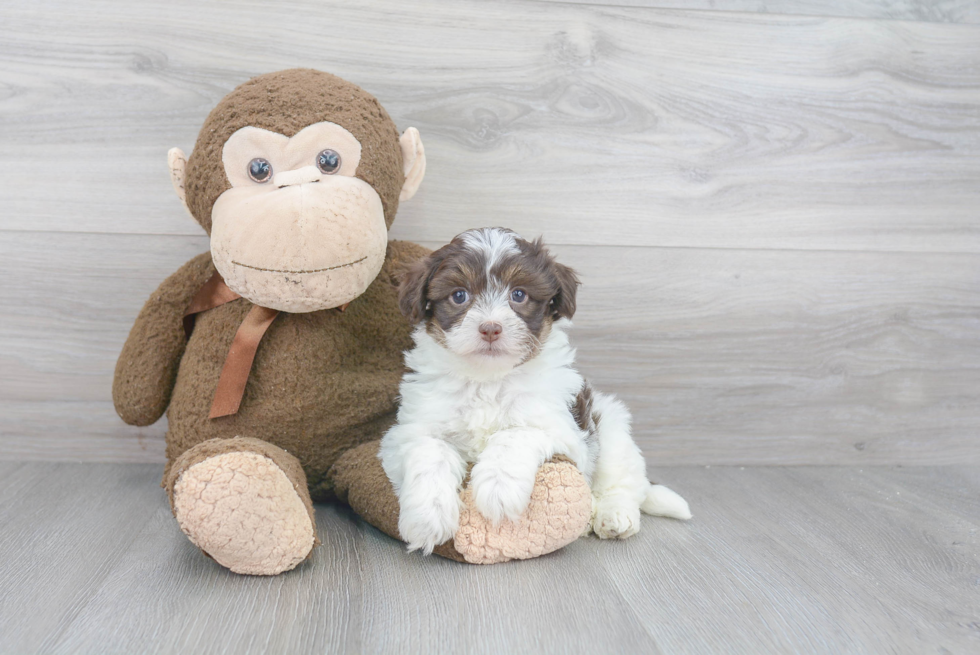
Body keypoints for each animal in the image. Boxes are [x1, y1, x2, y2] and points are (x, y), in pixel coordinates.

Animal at [376, 228, 688, 556]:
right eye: (459, 295)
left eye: (519, 295)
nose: (490, 328)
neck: (488, 379)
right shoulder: (411, 429)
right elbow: (429, 453)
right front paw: (427, 517)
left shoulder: (560, 428)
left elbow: (515, 434)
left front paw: (498, 488)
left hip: (610, 427)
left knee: (621, 481)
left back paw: (613, 515)